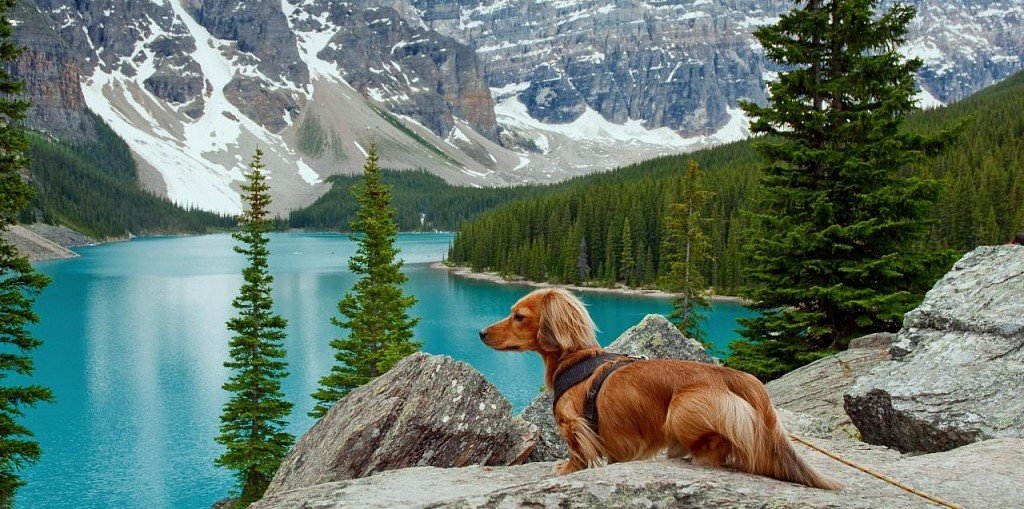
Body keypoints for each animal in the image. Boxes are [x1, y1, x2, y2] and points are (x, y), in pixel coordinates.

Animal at [479, 286, 839, 487]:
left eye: (519, 316)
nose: (481, 333)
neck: (574, 360)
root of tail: (731, 376)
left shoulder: (574, 424)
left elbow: (579, 451)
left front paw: (568, 468)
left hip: (680, 410)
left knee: (717, 447)